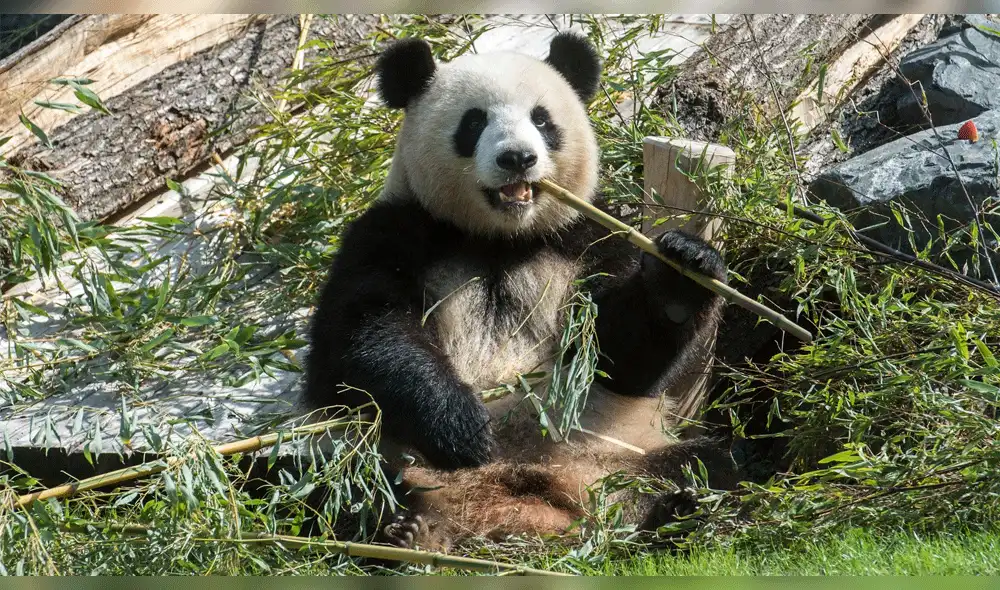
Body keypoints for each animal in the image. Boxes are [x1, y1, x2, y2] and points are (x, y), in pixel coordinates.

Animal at [305, 31, 742, 552]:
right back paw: (399, 532)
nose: (517, 157)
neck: (502, 238)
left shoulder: (588, 238)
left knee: (709, 465)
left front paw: (682, 272)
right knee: (316, 477)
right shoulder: (394, 232)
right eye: (474, 121)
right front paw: (461, 425)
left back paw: (675, 515)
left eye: (541, 119)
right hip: (372, 457)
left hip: (615, 457)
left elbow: (618, 357)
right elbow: (362, 339)